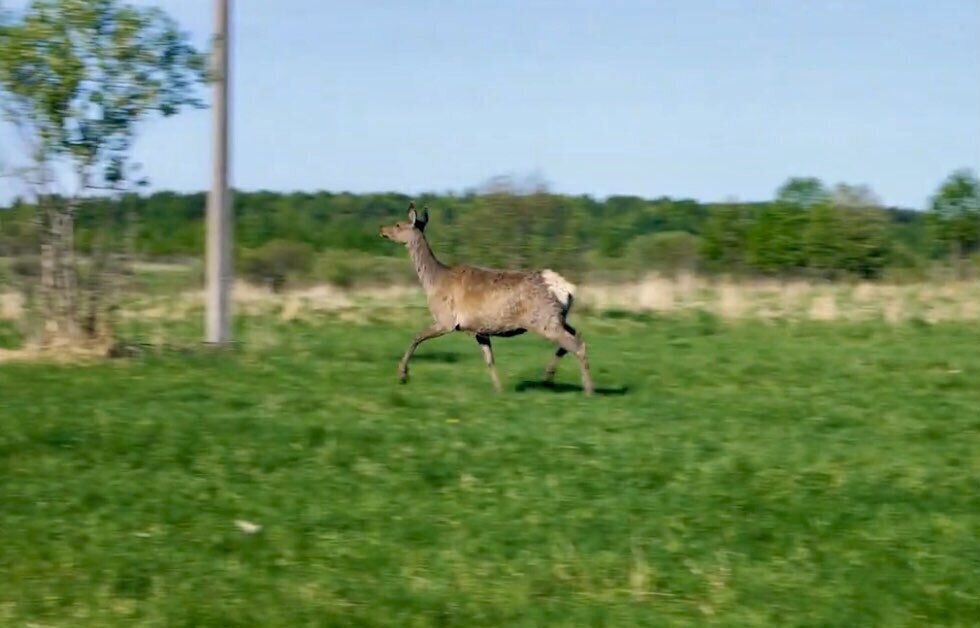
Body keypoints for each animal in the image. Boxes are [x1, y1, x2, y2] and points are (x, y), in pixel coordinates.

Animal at [378, 204, 592, 394]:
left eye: (398, 225)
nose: (381, 229)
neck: (433, 282)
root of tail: (565, 288)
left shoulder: (446, 320)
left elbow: (416, 337)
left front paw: (402, 374)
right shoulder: (479, 329)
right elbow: (489, 359)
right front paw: (498, 389)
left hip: (543, 320)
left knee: (577, 345)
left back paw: (588, 389)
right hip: (557, 318)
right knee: (574, 336)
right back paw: (548, 377)